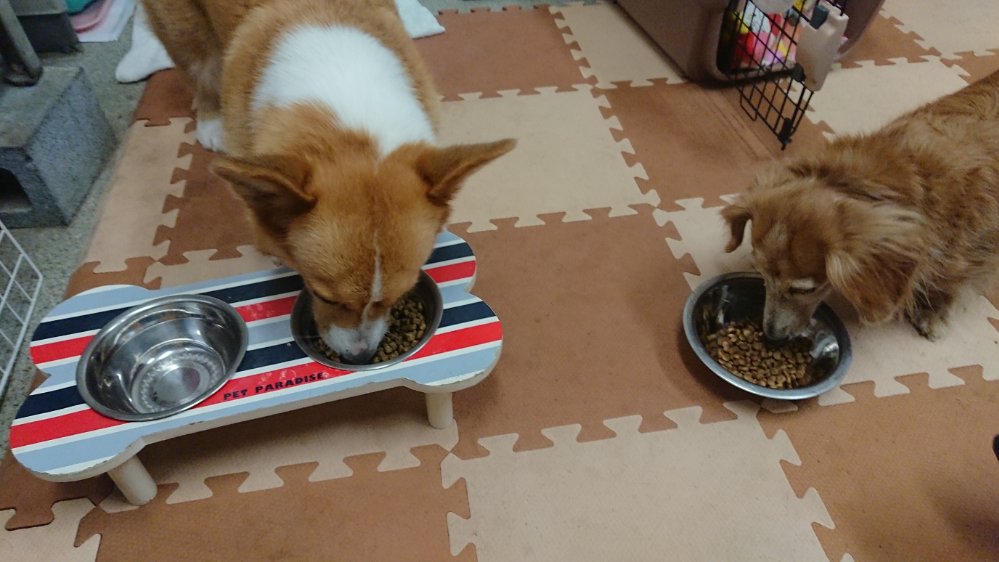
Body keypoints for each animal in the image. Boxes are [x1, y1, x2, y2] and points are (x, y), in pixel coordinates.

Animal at [142, 0, 515, 363]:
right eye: (323, 296)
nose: (360, 357)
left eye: (399, 295)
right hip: (184, 31)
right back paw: (210, 122)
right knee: (197, 69)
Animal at [721, 69, 999, 342]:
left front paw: (934, 312)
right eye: (761, 274)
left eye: (803, 290)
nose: (771, 335)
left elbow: (952, 279)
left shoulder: (972, 247)